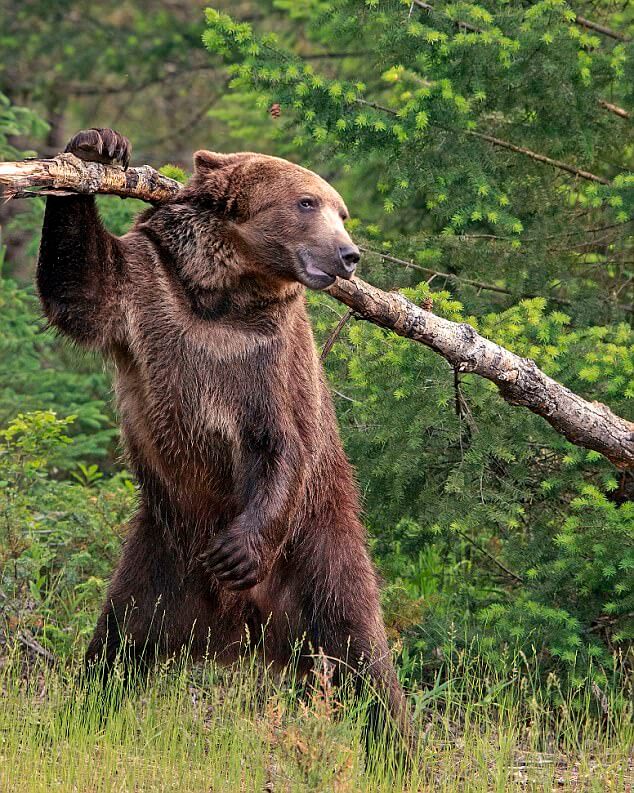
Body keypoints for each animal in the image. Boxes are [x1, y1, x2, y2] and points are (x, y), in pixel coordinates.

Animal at [35, 128, 410, 736]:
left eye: (343, 212)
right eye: (308, 202)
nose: (348, 254)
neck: (223, 296)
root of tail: (239, 632)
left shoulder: (268, 360)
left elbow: (282, 443)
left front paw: (238, 551)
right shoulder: (151, 289)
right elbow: (82, 287)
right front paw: (95, 149)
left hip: (318, 553)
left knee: (360, 653)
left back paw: (397, 742)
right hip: (160, 562)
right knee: (117, 645)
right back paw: (82, 714)